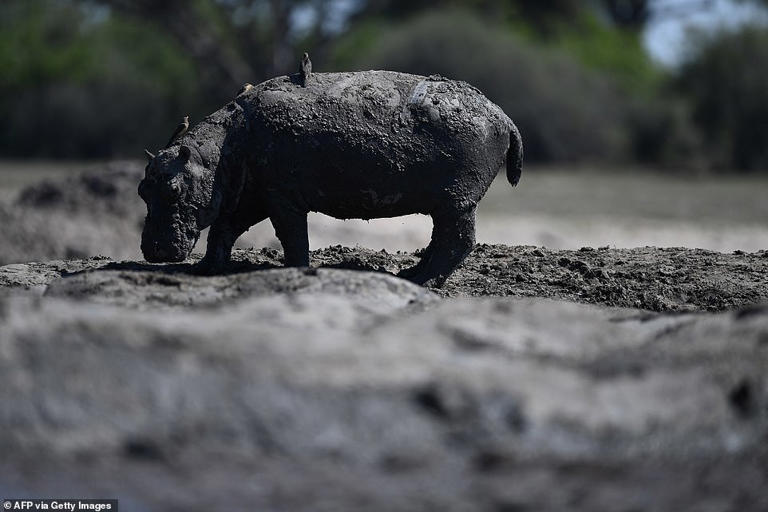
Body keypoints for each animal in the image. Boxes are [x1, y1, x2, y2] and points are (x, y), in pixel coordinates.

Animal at [138, 71, 520, 288]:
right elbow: (224, 229)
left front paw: (295, 270)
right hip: (448, 204)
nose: (153, 250)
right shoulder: (250, 194)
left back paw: (423, 283)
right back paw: (410, 276)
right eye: (142, 190)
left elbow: (292, 237)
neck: (219, 148)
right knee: (443, 242)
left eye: (173, 189)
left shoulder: (281, 198)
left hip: (456, 201)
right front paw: (207, 269)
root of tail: (502, 114)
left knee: (457, 241)